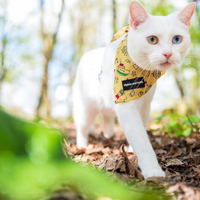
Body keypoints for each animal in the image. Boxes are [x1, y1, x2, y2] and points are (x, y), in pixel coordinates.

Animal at [72, 1, 195, 179]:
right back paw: (82, 147)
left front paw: (131, 151)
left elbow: (141, 128)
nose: (168, 54)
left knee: (107, 116)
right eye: (152, 39)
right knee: (82, 129)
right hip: (85, 109)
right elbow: (141, 139)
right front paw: (152, 170)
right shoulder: (127, 105)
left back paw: (108, 133)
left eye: (177, 39)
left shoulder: (145, 105)